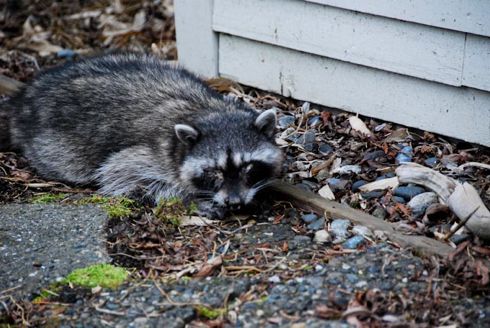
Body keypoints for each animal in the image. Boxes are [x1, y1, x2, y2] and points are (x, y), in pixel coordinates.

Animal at [5, 53, 284, 218]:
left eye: (248, 168)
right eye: (213, 172)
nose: (235, 202)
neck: (210, 112)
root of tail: (25, 98)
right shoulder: (148, 152)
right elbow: (122, 175)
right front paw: (190, 198)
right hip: (58, 146)